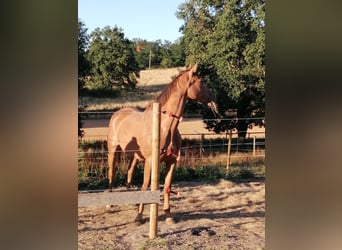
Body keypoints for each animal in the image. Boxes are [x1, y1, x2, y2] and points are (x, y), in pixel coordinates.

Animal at [107, 63, 218, 224]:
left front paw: (168, 215)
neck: (165, 127)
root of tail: (118, 114)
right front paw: (139, 217)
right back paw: (109, 204)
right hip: (113, 151)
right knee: (112, 173)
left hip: (134, 156)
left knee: (129, 172)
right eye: (201, 81)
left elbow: (167, 186)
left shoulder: (171, 161)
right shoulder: (150, 161)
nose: (215, 100)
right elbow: (145, 185)